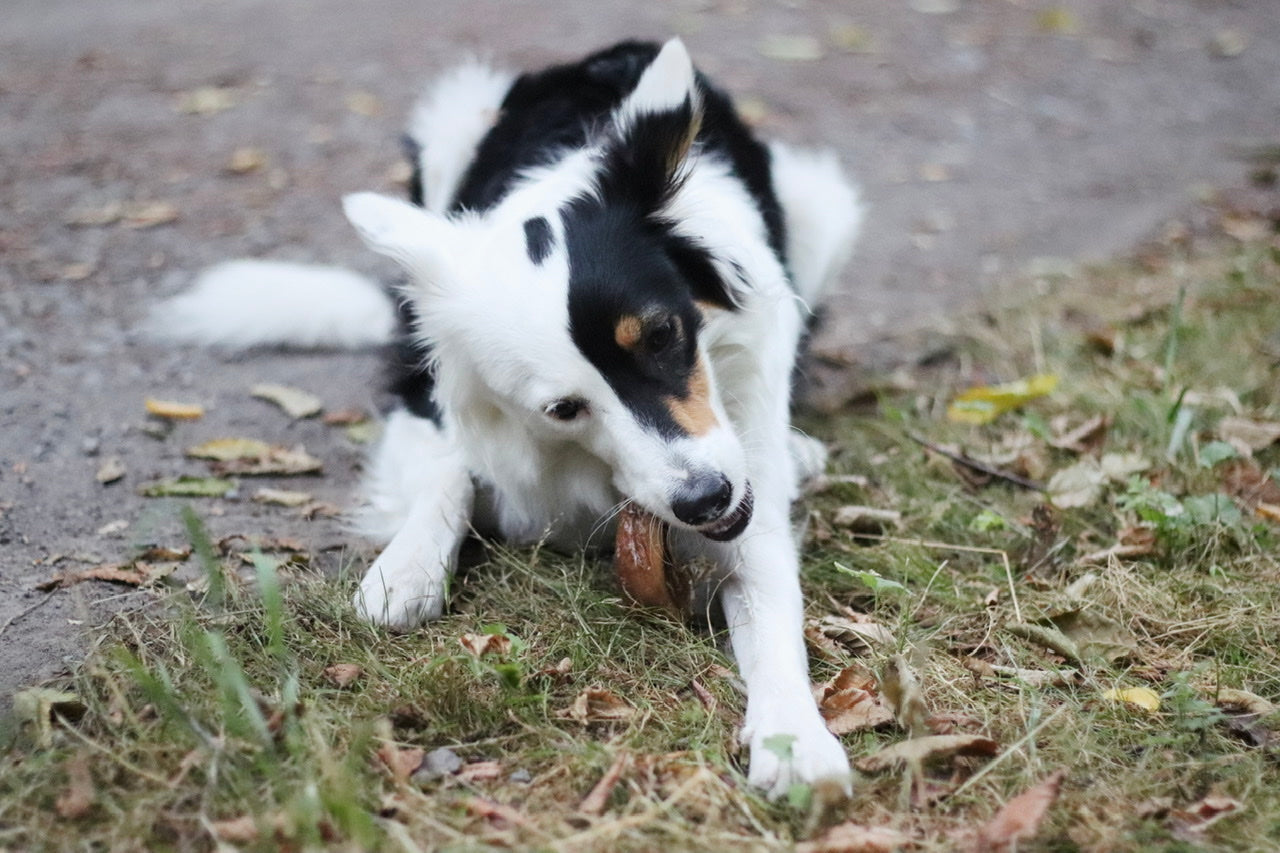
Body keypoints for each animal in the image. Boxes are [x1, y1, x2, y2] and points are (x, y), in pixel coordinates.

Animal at [154, 38, 865, 799]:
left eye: (662, 335)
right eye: (563, 408)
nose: (705, 499)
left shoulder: (744, 475)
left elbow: (770, 605)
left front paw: (793, 738)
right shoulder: (424, 392)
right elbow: (447, 474)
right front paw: (406, 567)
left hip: (822, 207)